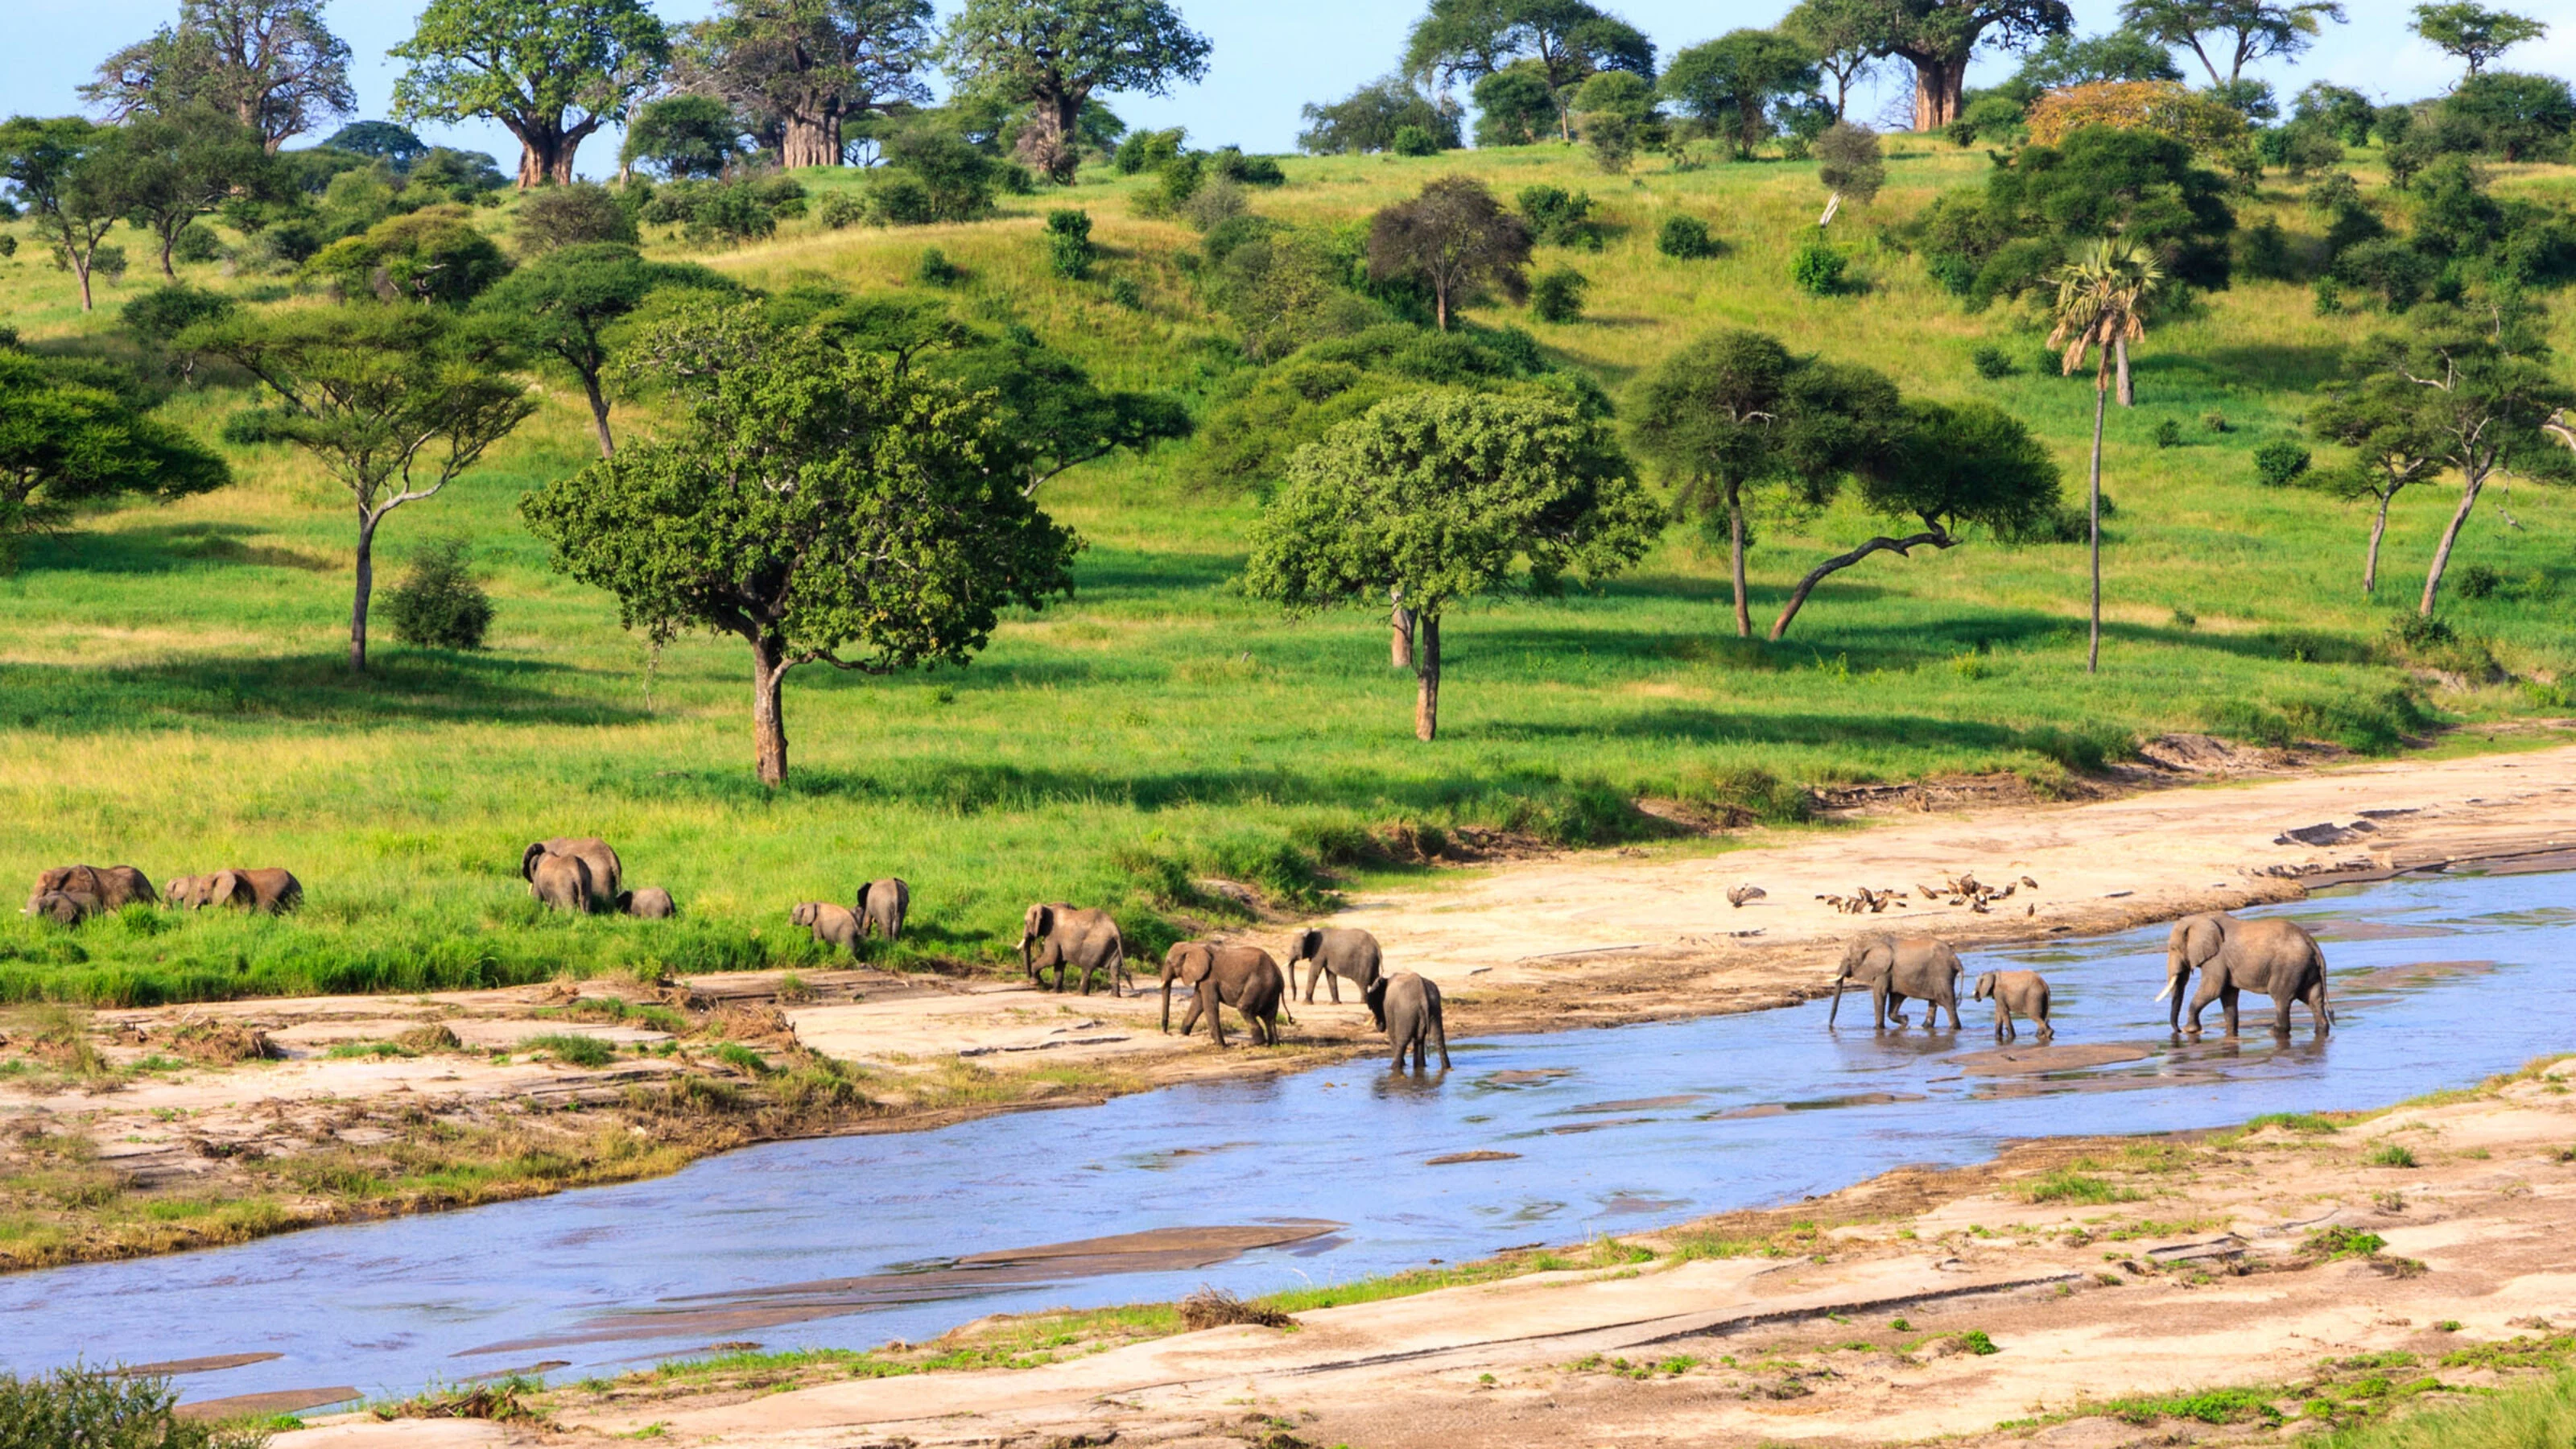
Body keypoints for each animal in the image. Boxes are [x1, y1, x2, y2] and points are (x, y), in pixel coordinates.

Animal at [1021, 903, 1131, 996]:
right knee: (1114, 970)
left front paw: (1035, 982)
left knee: (1086, 967)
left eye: (1026, 922)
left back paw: (1079, 994)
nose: (1039, 983)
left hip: (1095, 944)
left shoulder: (1053, 935)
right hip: (1115, 945)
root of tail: (1115, 929)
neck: (1048, 906)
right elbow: (1059, 963)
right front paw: (1053, 992)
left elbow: (1051, 957)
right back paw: (1114, 996)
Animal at [1161, 942, 1288, 1048]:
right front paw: (1183, 1033)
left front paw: (1221, 1045)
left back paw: (1255, 1044)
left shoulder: (1209, 978)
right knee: (1269, 1017)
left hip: (1260, 984)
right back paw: (1273, 1044)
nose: (1167, 1032)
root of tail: (1279, 974)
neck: (1194, 946)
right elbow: (1198, 1002)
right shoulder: (1203, 977)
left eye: (1170, 963)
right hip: (1271, 990)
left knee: (1244, 1007)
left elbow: (1209, 1005)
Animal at [1827, 934, 1964, 1030]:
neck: (1871, 942)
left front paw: (1878, 1029)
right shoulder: (1893, 973)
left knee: (1948, 1002)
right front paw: (1905, 1021)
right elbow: (1896, 997)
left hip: (1942, 973)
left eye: (1849, 960)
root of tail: (1956, 959)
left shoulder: (1885, 970)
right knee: (1934, 1002)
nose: (1831, 1027)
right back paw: (1924, 1027)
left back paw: (1954, 1028)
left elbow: (1880, 993)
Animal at [2161, 913, 2331, 1038]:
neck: (2200, 918)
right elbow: (2227, 995)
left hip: (2289, 968)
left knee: (2281, 999)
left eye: (2173, 948)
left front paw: (2191, 1030)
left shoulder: (2217, 959)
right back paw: (2321, 1029)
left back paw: (2273, 1032)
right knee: (2314, 999)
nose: (2178, 1030)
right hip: (2308, 969)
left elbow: (2213, 989)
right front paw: (2230, 1032)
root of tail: (2312, 943)